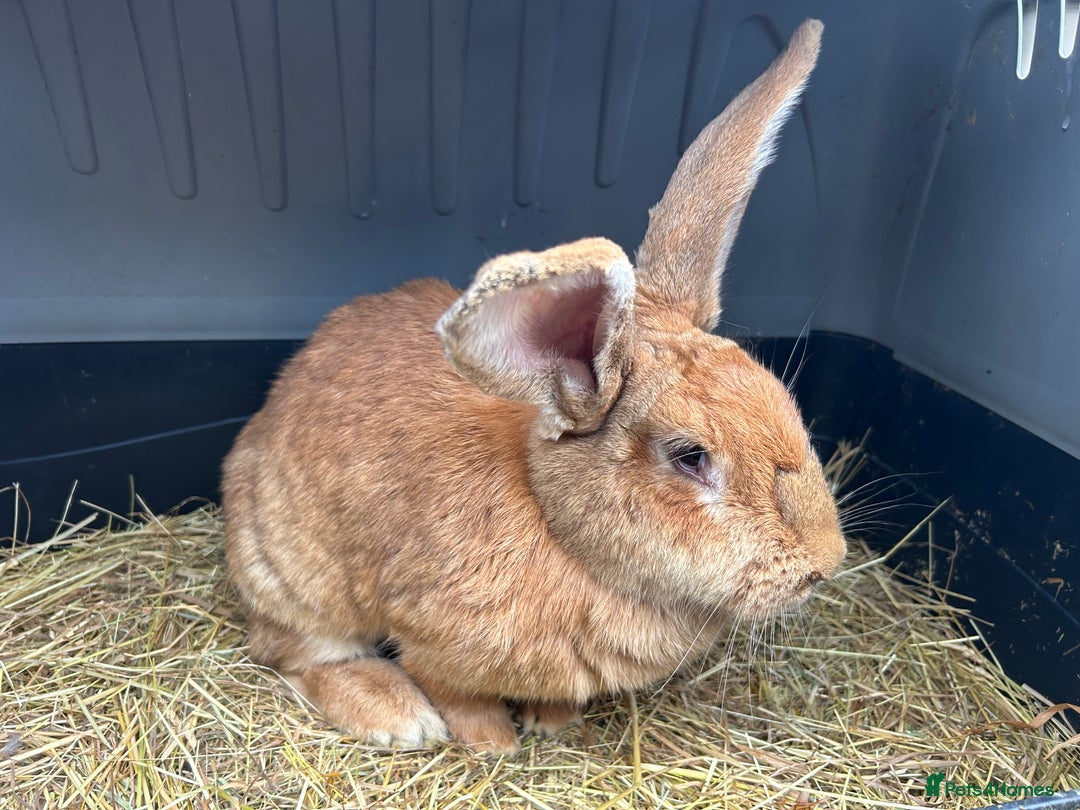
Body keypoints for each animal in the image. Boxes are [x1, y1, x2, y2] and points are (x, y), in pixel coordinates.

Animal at [222, 18, 843, 754]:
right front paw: (491, 742)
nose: (825, 563)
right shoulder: (428, 639)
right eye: (690, 457)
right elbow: (456, 693)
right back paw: (397, 717)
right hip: (297, 579)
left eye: (784, 402)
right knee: (293, 655)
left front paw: (553, 722)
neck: (558, 528)